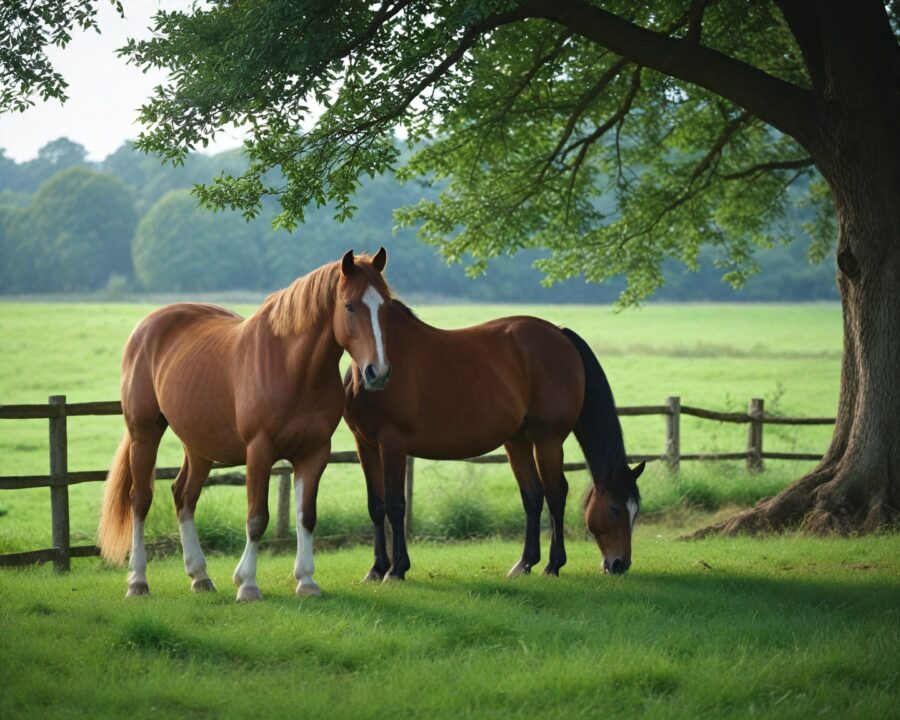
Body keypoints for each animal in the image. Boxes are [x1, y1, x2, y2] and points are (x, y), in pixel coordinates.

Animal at [97, 249, 394, 601]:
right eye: (349, 305)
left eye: (384, 305)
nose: (378, 372)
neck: (292, 368)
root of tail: (146, 326)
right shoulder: (259, 451)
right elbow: (256, 517)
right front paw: (248, 584)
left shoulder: (315, 453)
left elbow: (306, 516)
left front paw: (307, 580)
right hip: (144, 433)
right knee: (140, 500)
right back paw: (138, 581)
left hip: (198, 447)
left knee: (184, 496)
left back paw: (200, 576)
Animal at [342, 279, 644, 583]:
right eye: (615, 509)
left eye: (634, 511)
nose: (620, 564)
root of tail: (560, 334)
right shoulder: (366, 445)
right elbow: (377, 505)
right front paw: (378, 569)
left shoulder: (392, 444)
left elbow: (395, 505)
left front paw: (396, 569)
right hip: (519, 440)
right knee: (534, 495)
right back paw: (526, 563)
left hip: (547, 440)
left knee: (554, 494)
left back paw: (552, 564)